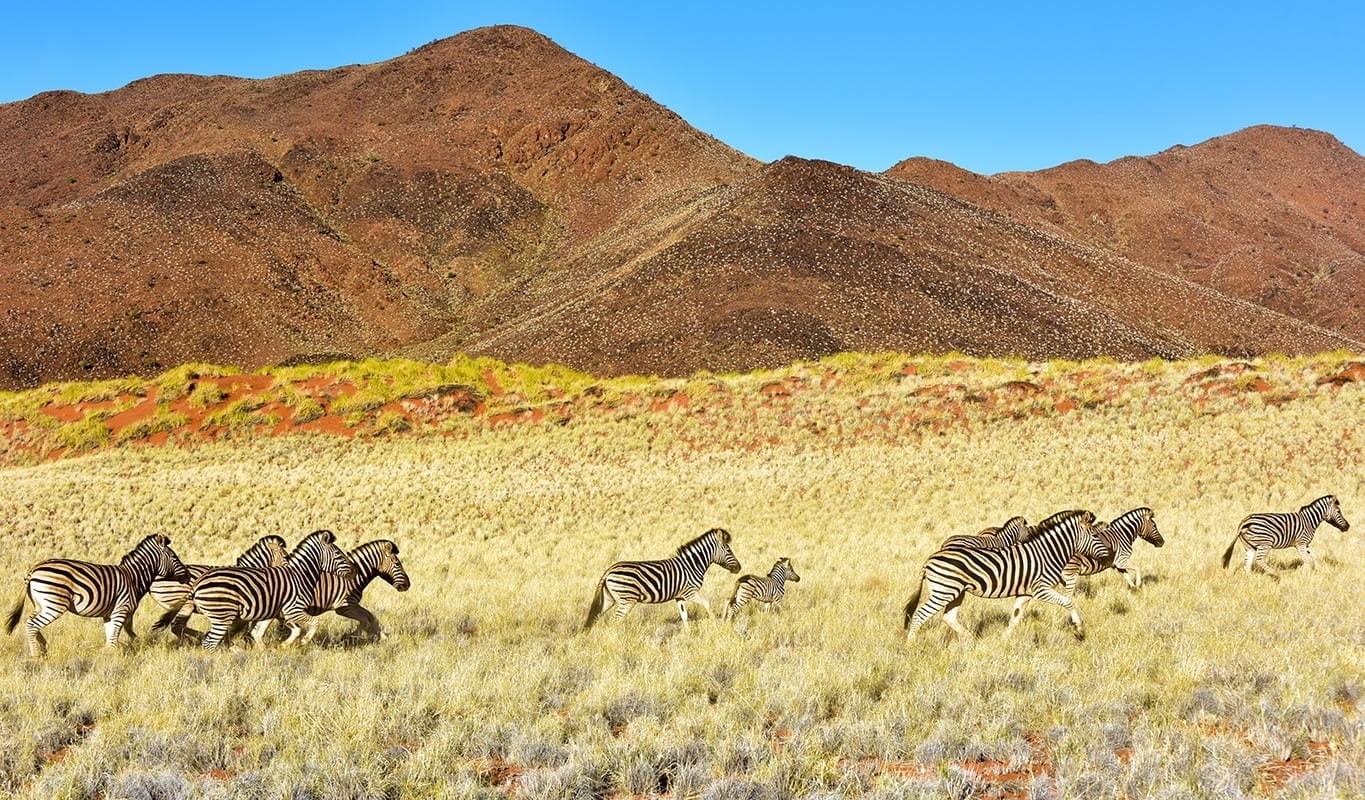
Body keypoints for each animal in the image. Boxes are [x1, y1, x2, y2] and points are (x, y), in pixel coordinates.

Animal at [4, 532, 189, 658]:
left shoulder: (110, 614)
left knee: (31, 621)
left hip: (41, 603)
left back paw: (44, 647)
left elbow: (113, 634)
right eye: (174, 557)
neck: (133, 578)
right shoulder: (122, 609)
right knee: (32, 624)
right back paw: (36, 655)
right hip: (54, 604)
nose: (187, 576)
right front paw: (113, 657)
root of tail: (34, 569)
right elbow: (116, 634)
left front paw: (110, 654)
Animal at [152, 526, 354, 649]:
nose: (352, 571)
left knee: (179, 628)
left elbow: (260, 630)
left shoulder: (271, 610)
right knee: (179, 628)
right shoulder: (286, 610)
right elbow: (308, 625)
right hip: (188, 605)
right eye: (338, 554)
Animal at [584, 524, 742, 627]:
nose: (739, 568)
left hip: (609, 599)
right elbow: (707, 604)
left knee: (596, 617)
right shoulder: (690, 592)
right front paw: (716, 624)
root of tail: (609, 570)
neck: (692, 564)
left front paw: (687, 634)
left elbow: (684, 616)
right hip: (626, 600)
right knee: (615, 621)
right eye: (728, 550)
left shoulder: (679, 596)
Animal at [906, 510, 1108, 641]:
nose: (1109, 555)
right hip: (944, 591)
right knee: (920, 615)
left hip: (956, 592)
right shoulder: (1041, 589)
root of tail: (929, 560)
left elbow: (1015, 617)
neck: (1047, 553)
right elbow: (1068, 602)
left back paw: (972, 640)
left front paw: (1003, 640)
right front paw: (1079, 630)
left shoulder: (1025, 593)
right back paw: (911, 645)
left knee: (948, 617)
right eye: (1095, 535)